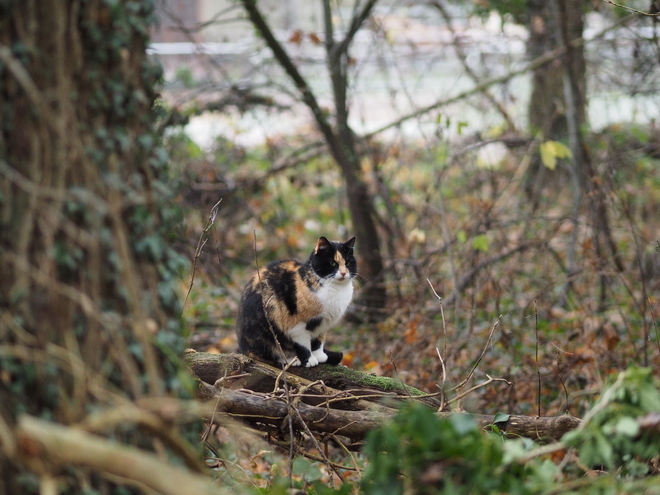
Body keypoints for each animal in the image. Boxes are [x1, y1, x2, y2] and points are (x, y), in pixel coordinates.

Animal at [237, 236, 356, 368]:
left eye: (348, 263)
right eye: (332, 263)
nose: (344, 273)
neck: (335, 289)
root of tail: (244, 349)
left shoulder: (323, 324)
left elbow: (318, 341)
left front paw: (320, 356)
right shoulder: (297, 325)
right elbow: (303, 344)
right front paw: (309, 360)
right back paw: (290, 359)